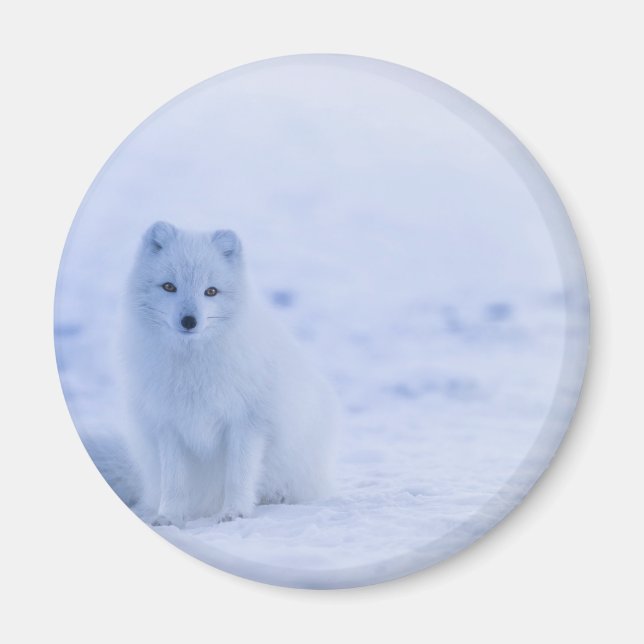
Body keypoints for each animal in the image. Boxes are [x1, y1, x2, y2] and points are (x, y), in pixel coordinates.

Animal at [122, 221, 340, 526]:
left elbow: (238, 475)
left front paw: (234, 513)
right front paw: (168, 517)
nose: (189, 321)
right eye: (169, 286)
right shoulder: (168, 424)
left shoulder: (247, 422)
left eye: (211, 291)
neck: (193, 367)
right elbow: (174, 481)